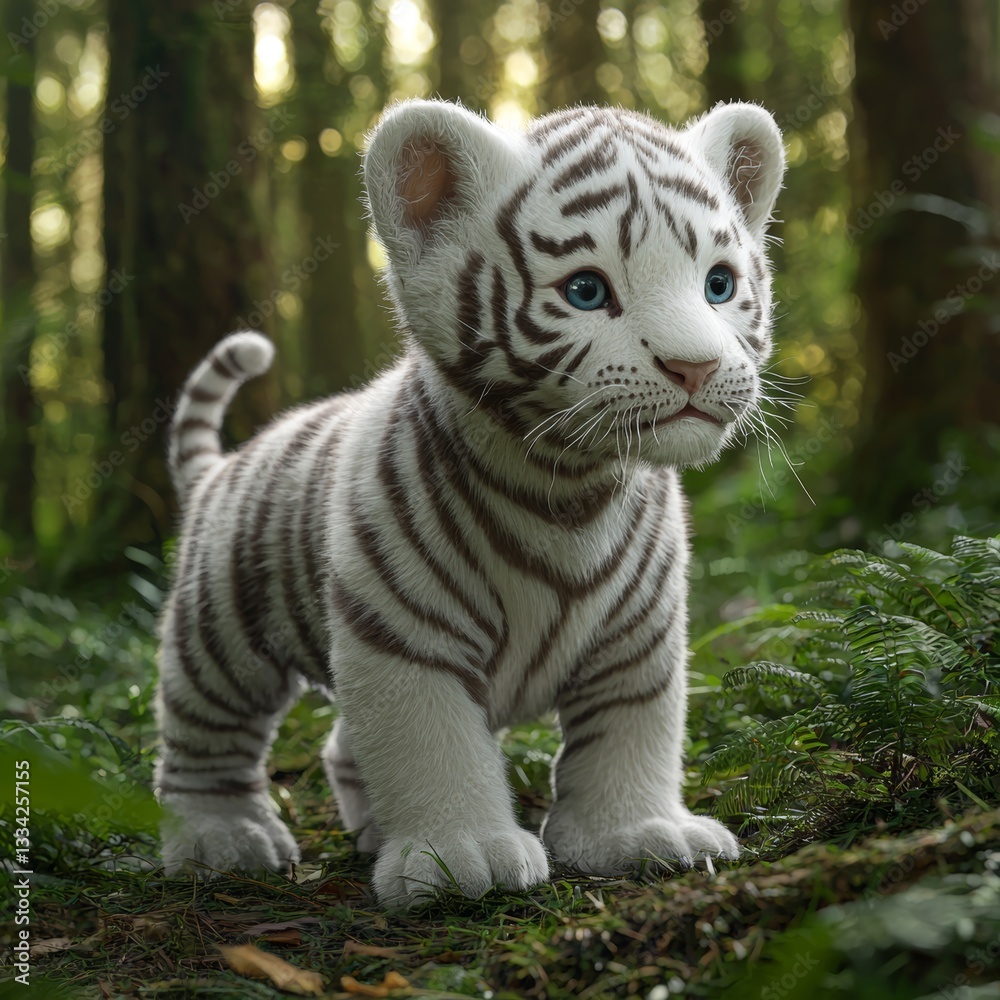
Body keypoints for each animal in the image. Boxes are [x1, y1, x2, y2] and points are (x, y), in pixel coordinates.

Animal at [155, 97, 786, 906]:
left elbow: (633, 732)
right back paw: (221, 839)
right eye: (586, 291)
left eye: (718, 284)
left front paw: (637, 835)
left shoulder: (639, 637)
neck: (572, 488)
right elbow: (431, 746)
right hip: (221, 631)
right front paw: (460, 857)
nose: (696, 366)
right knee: (203, 731)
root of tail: (220, 467)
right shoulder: (402, 634)